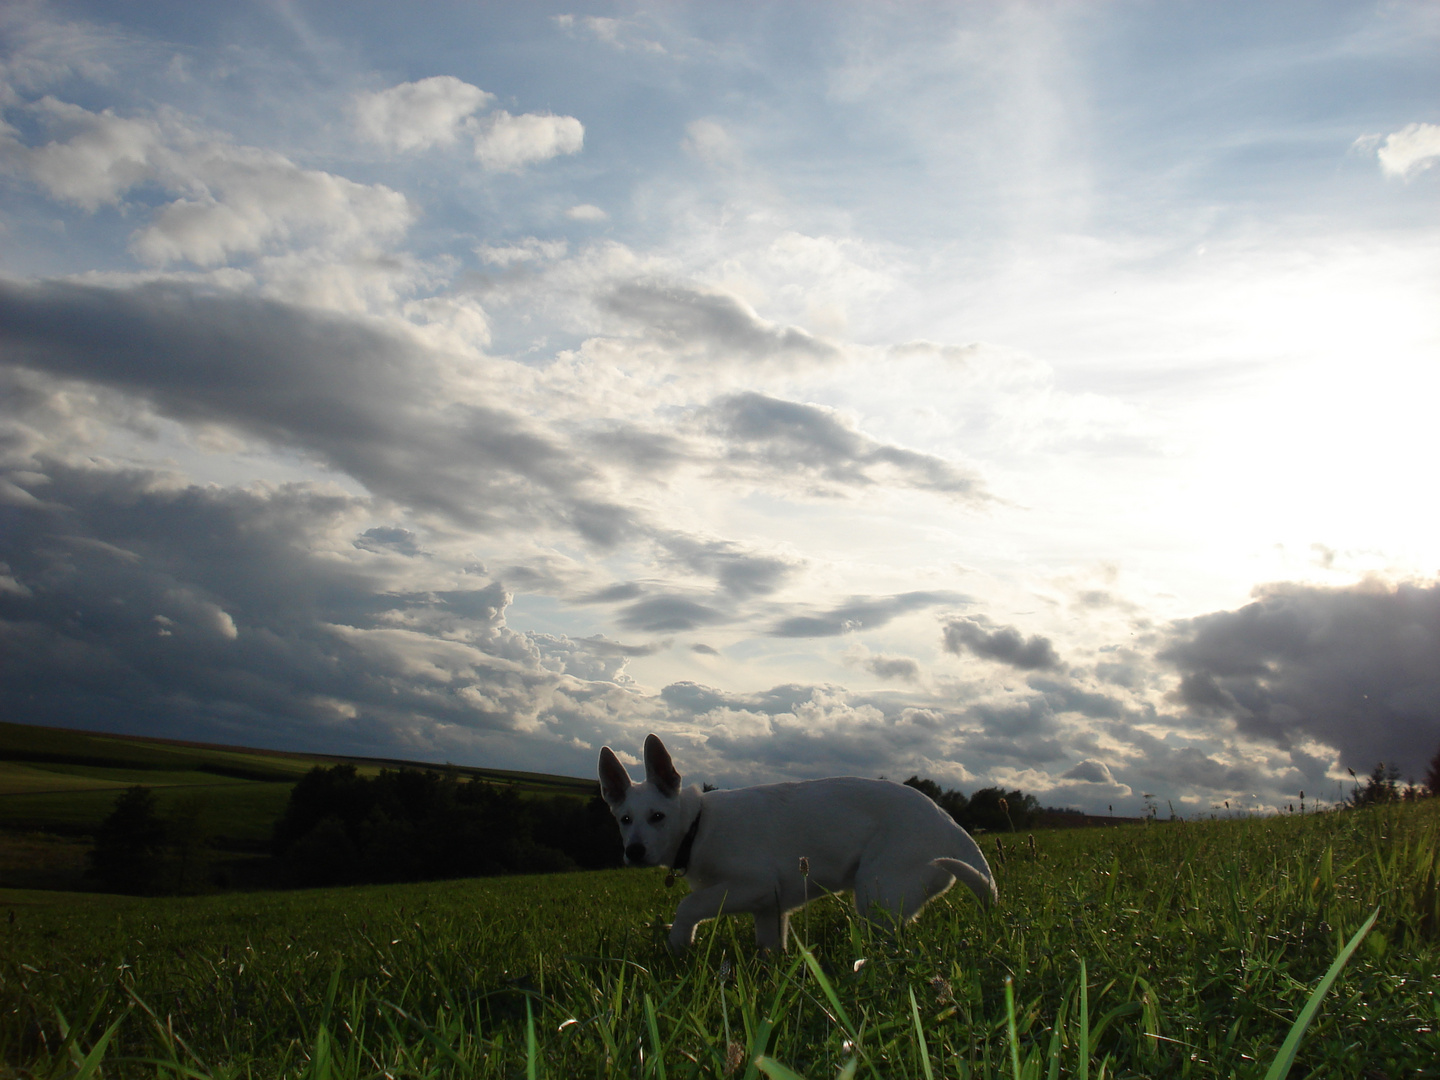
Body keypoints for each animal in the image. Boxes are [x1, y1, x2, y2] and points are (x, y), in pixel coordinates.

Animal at [593, 737, 990, 956]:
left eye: (657, 817)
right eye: (624, 819)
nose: (634, 852)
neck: (698, 825)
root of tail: (950, 825)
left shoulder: (753, 884)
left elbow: (688, 905)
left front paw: (678, 946)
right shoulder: (770, 906)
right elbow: (770, 946)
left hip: (876, 892)